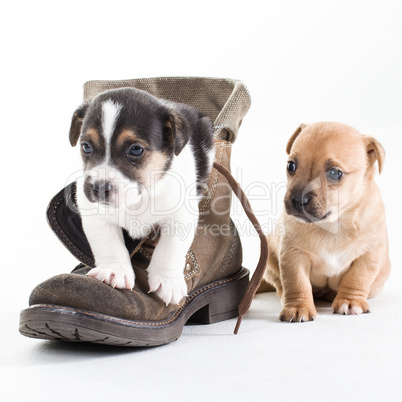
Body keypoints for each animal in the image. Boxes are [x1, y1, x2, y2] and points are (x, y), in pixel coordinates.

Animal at [69, 88, 215, 306]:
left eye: (136, 149)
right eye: (86, 146)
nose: (99, 188)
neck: (138, 200)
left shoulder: (180, 216)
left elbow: (170, 249)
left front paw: (168, 281)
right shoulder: (94, 214)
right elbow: (109, 244)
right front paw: (114, 272)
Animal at [260, 121, 390, 322]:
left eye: (335, 173)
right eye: (291, 166)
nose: (297, 200)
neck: (333, 224)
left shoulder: (368, 254)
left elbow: (357, 278)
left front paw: (350, 301)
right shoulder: (293, 255)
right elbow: (297, 282)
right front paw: (298, 306)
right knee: (280, 285)